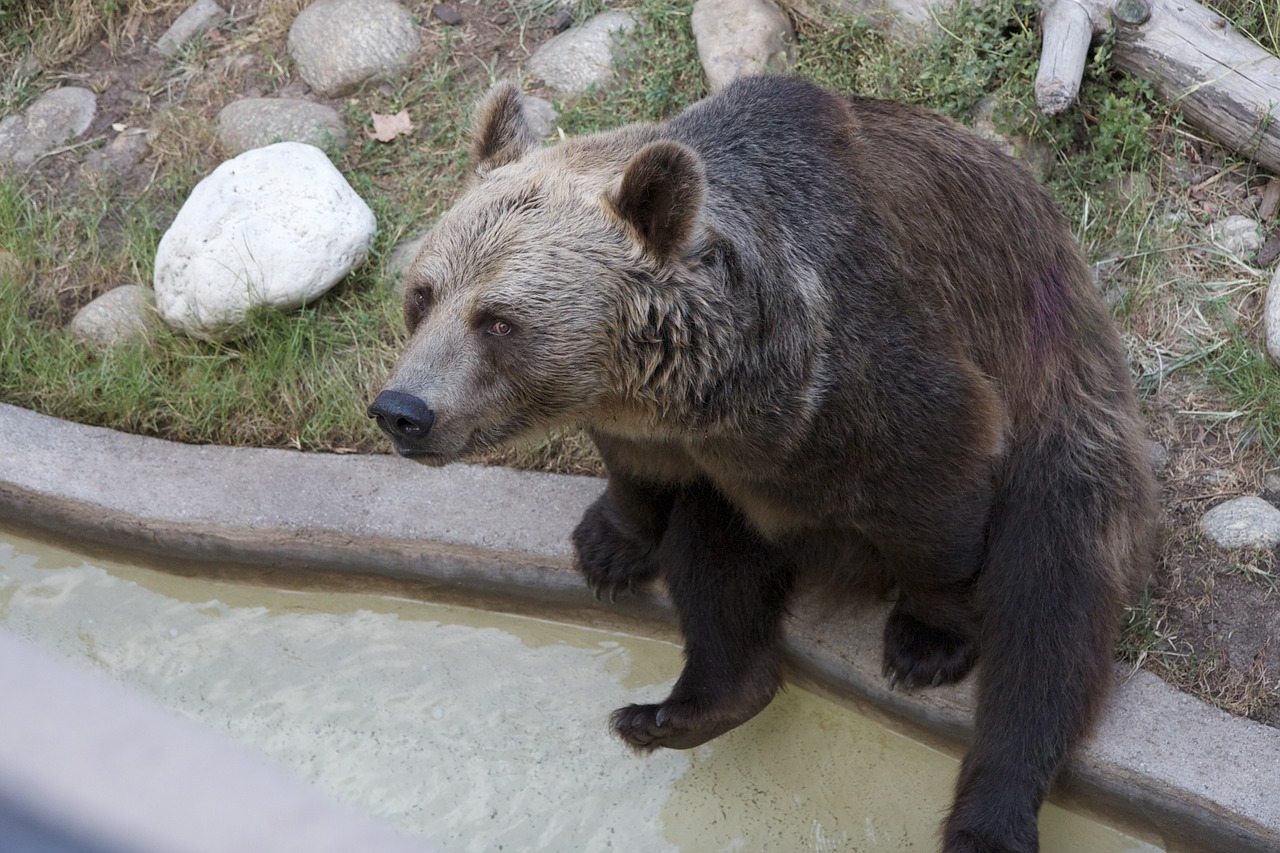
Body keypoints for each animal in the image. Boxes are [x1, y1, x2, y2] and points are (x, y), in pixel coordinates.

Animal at [368, 76, 1162, 850]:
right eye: (423, 295)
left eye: (499, 321)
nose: (403, 409)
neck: (730, 388)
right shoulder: (673, 430)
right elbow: (642, 478)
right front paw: (607, 545)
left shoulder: (870, 375)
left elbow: (941, 491)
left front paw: (930, 638)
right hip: (749, 504)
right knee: (713, 563)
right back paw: (677, 710)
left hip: (1062, 417)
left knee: (1047, 617)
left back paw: (988, 818)